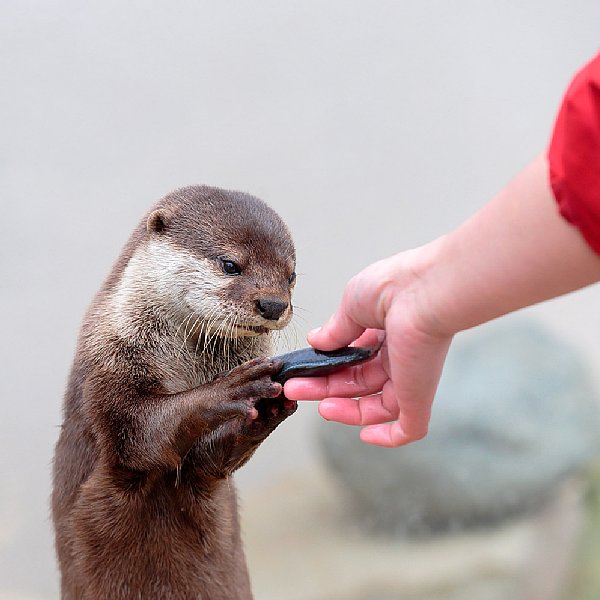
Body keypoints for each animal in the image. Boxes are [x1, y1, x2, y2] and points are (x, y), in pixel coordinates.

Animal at [51, 186, 298, 600]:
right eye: (230, 265)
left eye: (292, 275)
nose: (273, 304)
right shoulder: (110, 360)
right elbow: (137, 433)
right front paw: (231, 388)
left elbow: (208, 459)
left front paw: (267, 411)